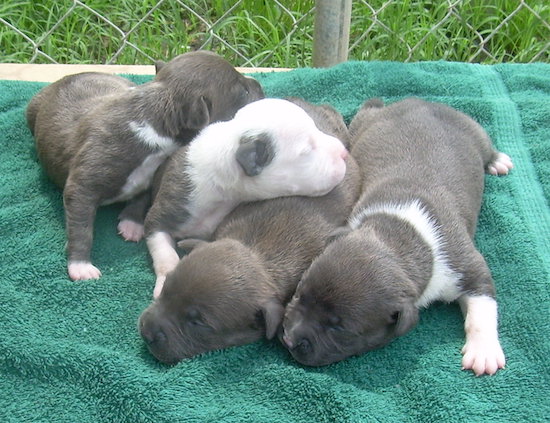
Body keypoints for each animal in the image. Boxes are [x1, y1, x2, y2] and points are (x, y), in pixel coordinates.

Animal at [27, 51, 266, 282]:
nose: (258, 83)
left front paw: (132, 224)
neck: (155, 114)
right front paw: (80, 266)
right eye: (243, 92)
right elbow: (81, 227)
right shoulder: (83, 185)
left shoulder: (151, 173)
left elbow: (142, 197)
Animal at [282, 98, 516, 378]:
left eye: (339, 328)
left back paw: (498, 160)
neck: (399, 234)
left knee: (486, 145)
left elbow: (483, 304)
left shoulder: (464, 263)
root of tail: (418, 100)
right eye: (299, 294)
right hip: (362, 124)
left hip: (472, 128)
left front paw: (484, 351)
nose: (289, 340)